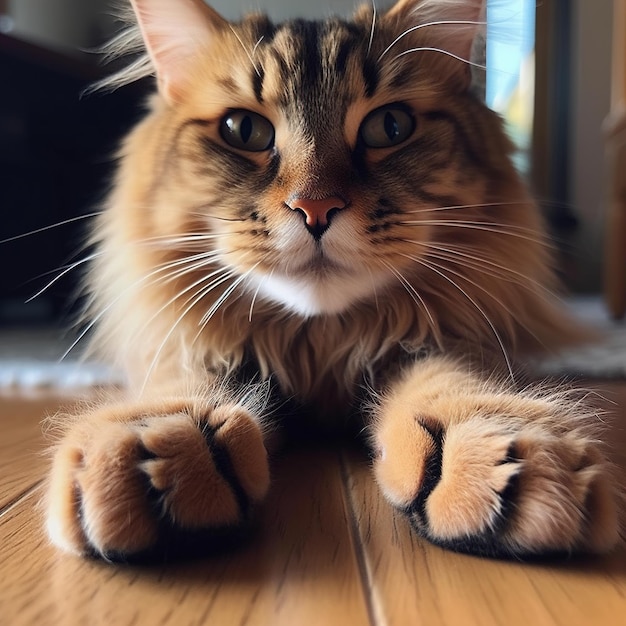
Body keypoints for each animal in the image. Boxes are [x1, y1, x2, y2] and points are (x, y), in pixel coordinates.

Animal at [45, 0, 620, 556]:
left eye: (390, 127)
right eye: (244, 130)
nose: (315, 208)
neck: (318, 348)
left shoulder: (432, 342)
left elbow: (455, 384)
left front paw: (501, 448)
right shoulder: (195, 346)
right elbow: (184, 386)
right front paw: (151, 446)